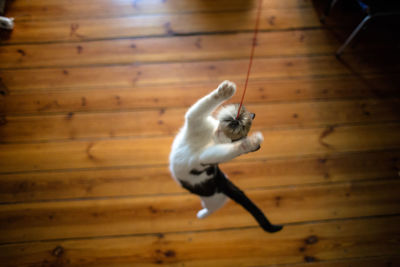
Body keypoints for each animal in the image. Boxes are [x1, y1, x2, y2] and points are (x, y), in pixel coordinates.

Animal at [169, 80, 282, 233]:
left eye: (236, 139)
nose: (236, 121)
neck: (211, 136)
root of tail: (223, 183)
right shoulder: (195, 119)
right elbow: (200, 108)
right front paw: (225, 91)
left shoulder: (206, 156)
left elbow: (227, 151)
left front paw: (251, 143)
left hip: (212, 200)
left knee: (212, 208)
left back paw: (201, 214)